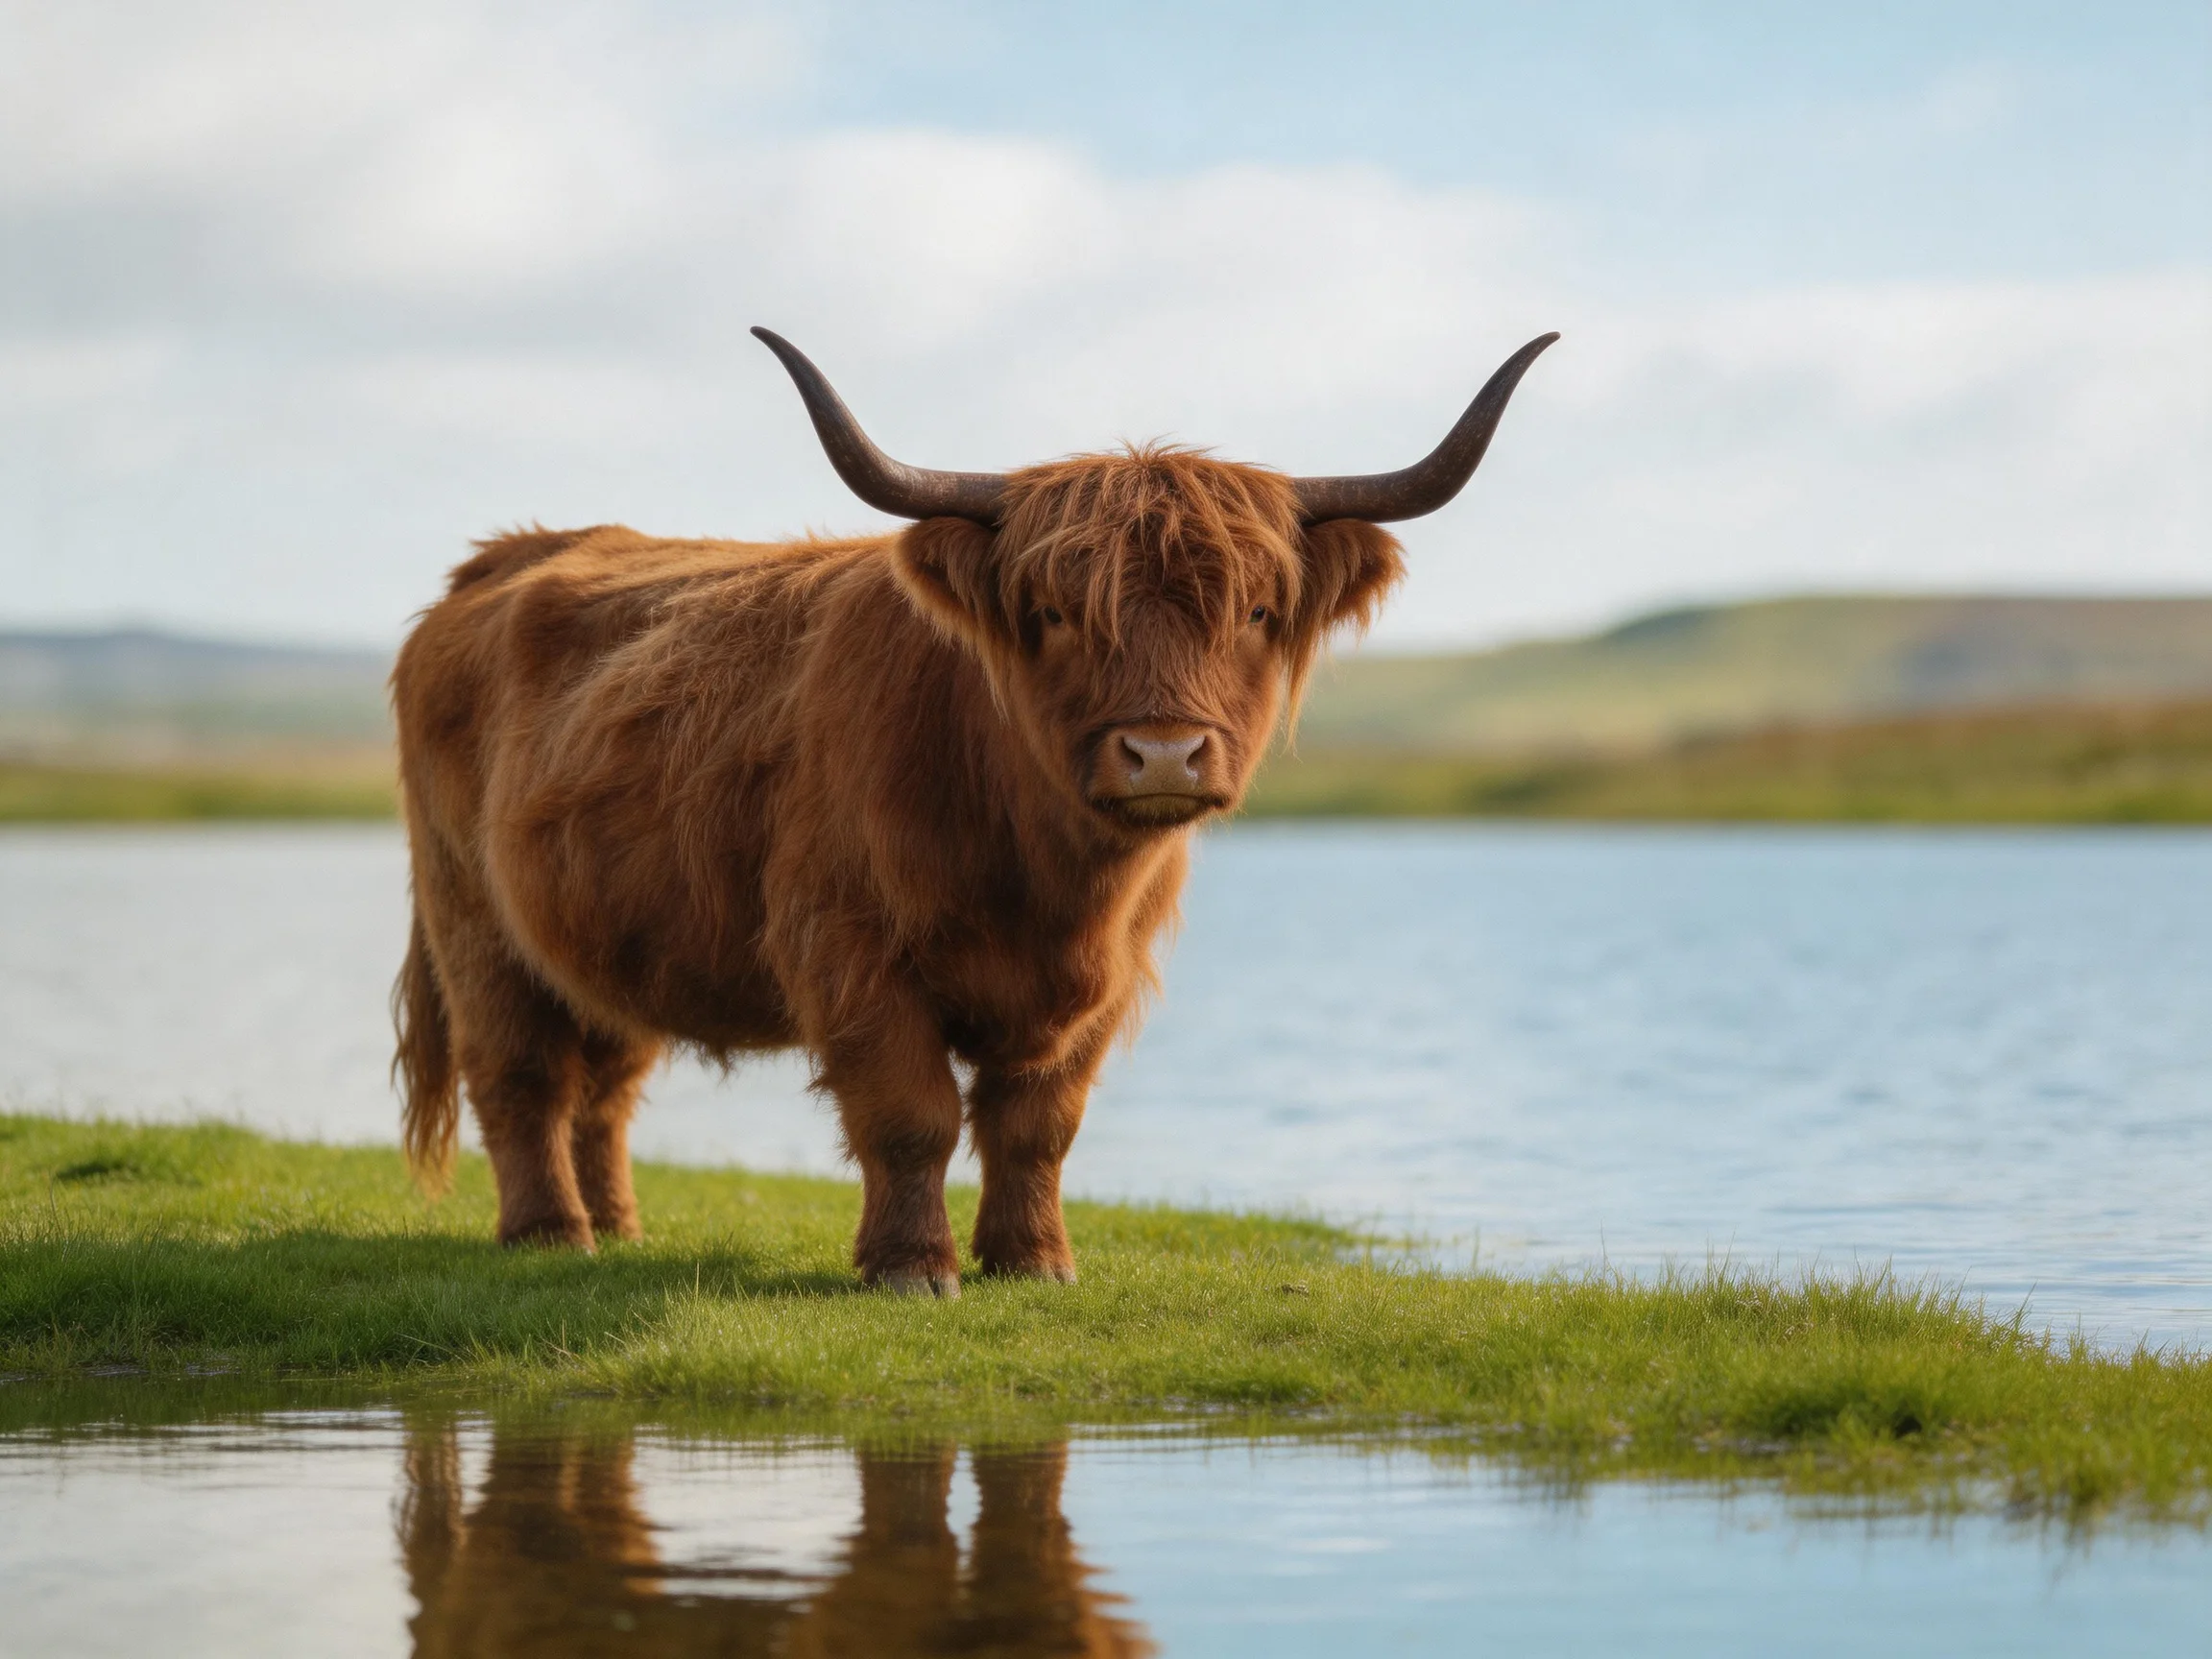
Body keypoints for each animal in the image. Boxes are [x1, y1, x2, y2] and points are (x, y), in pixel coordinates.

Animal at [392, 326, 1556, 1294]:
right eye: (1053, 613)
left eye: (1259, 612)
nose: (1163, 752)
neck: (1045, 879)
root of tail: (505, 554)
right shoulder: (850, 950)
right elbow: (912, 1116)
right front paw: (913, 1269)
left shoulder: (1102, 979)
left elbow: (1037, 1124)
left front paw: (1034, 1261)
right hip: (474, 922)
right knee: (522, 1077)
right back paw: (551, 1236)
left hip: (602, 939)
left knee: (605, 1088)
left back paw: (620, 1231)